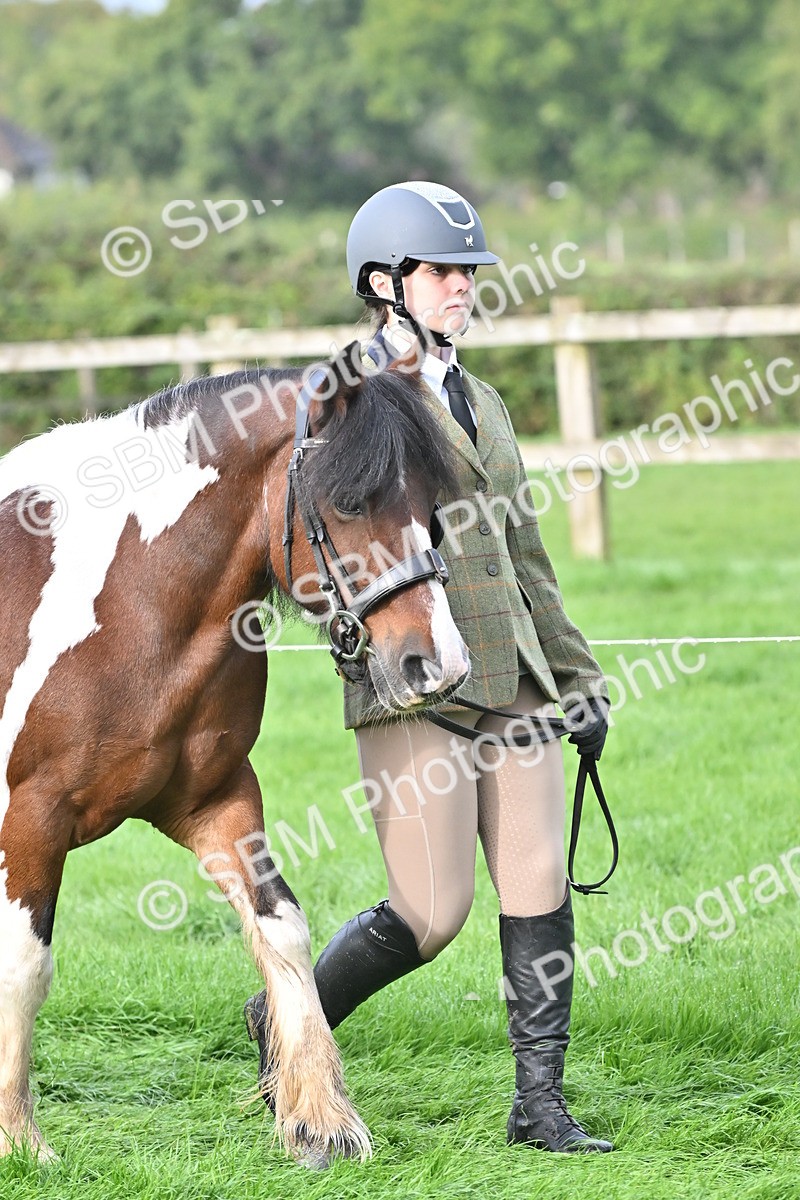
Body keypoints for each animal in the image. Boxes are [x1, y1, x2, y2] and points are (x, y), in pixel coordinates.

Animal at [0, 343, 470, 1167]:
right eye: (350, 502)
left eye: (431, 503)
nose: (437, 665)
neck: (134, 605)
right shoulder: (30, 817)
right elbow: (25, 967)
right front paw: (20, 1138)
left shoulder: (215, 800)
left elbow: (282, 927)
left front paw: (319, 1121)